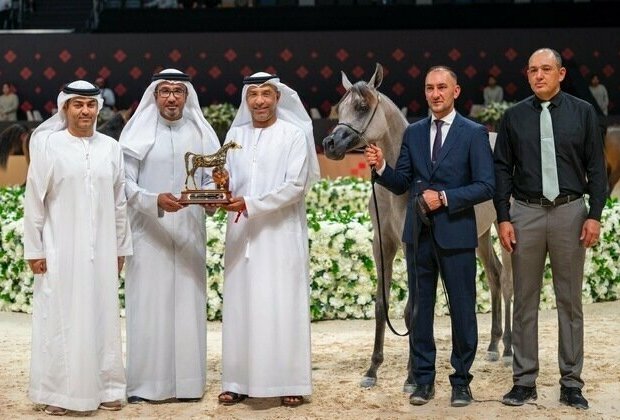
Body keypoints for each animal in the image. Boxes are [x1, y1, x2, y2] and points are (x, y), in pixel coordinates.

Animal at [322, 64, 512, 392]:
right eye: (340, 107)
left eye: (362, 107)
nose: (329, 144)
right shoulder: (381, 245)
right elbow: (381, 305)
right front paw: (372, 370)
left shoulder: (411, 246)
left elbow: (413, 310)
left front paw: (412, 377)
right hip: (480, 235)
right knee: (496, 275)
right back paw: (492, 347)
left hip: (507, 232)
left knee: (512, 283)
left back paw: (512, 350)